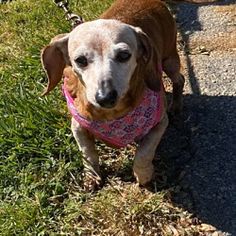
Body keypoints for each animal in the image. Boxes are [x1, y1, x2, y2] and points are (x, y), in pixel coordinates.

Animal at [40, 0, 193, 189]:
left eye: (124, 55)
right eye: (80, 60)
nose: (105, 97)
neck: (111, 115)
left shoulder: (160, 124)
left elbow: (144, 152)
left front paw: (143, 174)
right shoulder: (77, 126)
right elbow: (88, 153)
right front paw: (92, 176)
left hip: (169, 59)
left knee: (180, 79)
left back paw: (176, 105)